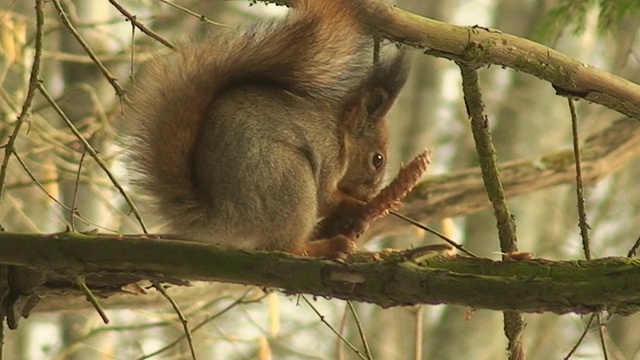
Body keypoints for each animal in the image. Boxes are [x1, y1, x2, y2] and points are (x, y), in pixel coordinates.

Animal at [122, 0, 408, 258]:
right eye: (377, 160)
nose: (371, 192)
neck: (340, 132)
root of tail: (223, 219)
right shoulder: (328, 153)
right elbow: (326, 197)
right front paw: (356, 206)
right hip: (289, 177)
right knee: (285, 247)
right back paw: (325, 247)